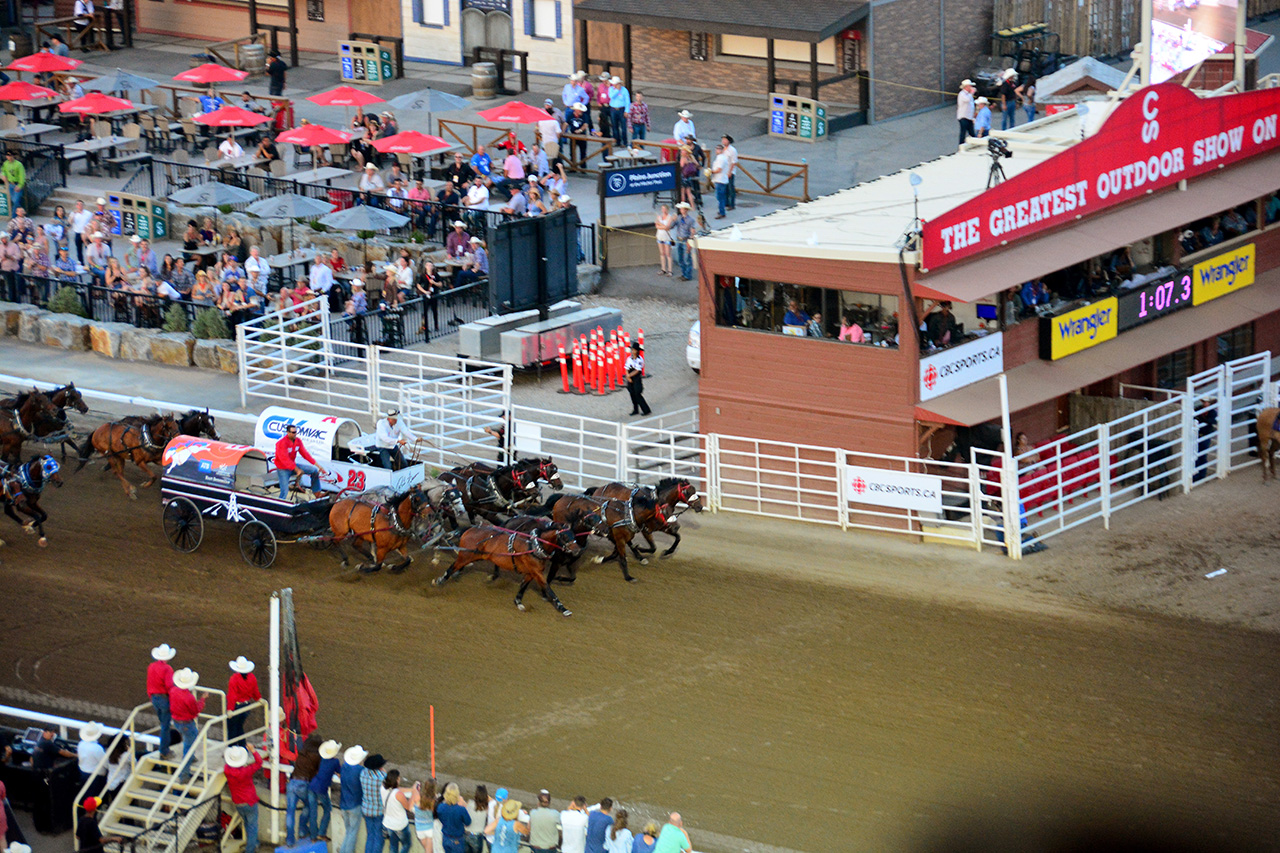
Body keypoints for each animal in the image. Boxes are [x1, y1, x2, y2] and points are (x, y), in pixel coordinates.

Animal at [437, 514, 583, 614]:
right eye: (565, 537)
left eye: (574, 535)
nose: (577, 550)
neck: (534, 546)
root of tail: (470, 529)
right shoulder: (537, 572)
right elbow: (548, 588)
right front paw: (563, 608)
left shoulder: (531, 572)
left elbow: (523, 586)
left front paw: (518, 602)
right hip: (466, 556)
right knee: (452, 567)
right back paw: (439, 580)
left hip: (473, 556)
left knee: (458, 566)